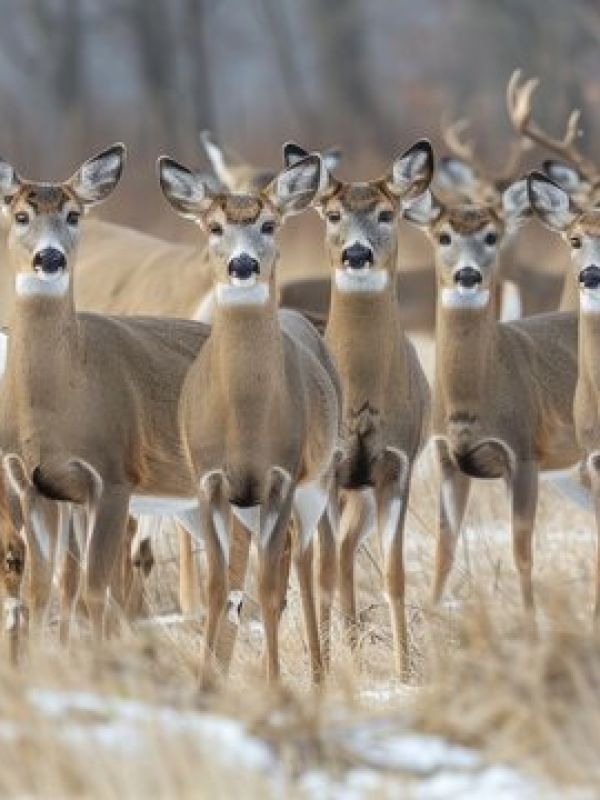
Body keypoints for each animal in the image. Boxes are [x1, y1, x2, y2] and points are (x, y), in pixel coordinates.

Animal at [0, 145, 214, 644]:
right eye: (21, 215)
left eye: (74, 214)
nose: (50, 258)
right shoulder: (31, 485)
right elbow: (41, 592)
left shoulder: (115, 477)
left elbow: (94, 589)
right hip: (194, 497)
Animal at [158, 153, 342, 684]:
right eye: (214, 226)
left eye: (269, 224)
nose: (244, 265)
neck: (244, 418)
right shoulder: (210, 480)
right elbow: (219, 587)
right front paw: (204, 682)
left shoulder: (281, 477)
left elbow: (268, 588)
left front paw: (274, 682)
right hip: (252, 505)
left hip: (316, 483)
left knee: (303, 565)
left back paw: (318, 675)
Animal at [404, 184, 580, 616]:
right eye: (444, 236)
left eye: (491, 236)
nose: (468, 275)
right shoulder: (449, 460)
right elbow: (444, 548)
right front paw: (431, 618)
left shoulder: (524, 453)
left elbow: (522, 552)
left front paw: (531, 620)